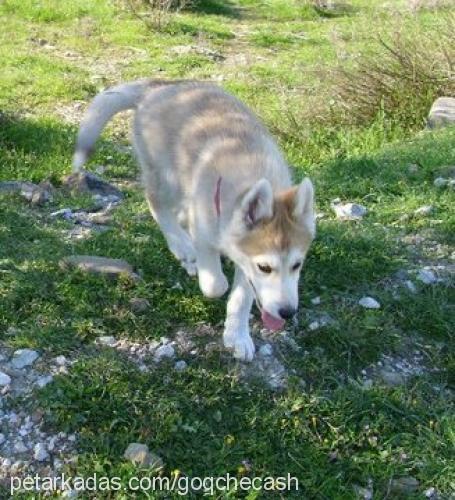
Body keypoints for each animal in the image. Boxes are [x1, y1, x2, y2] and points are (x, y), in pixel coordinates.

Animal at [74, 79, 318, 360]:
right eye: (265, 268)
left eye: (297, 265)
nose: (288, 312)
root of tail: (158, 86)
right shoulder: (207, 234)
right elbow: (215, 284)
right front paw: (208, 274)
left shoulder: (244, 259)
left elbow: (241, 298)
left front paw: (237, 336)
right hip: (165, 176)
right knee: (157, 205)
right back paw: (183, 248)